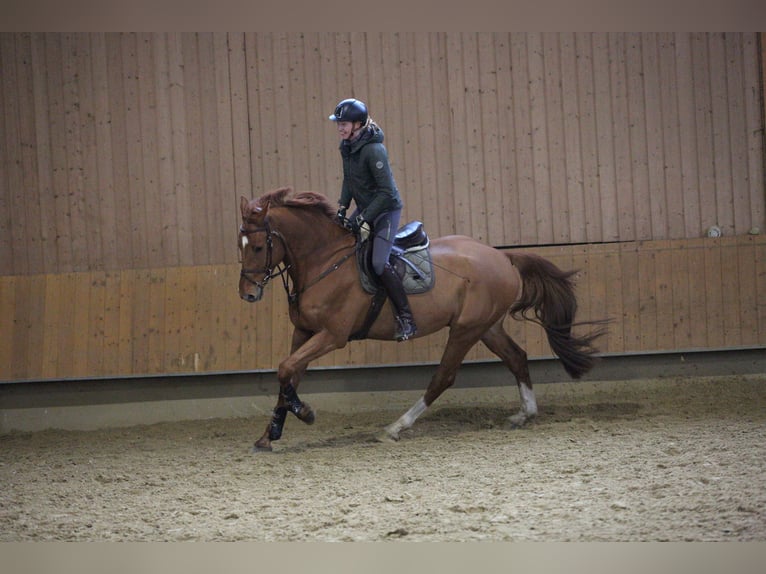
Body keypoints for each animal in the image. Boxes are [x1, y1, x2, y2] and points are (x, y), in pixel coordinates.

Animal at [240, 187, 612, 452]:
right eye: (240, 244)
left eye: (257, 247)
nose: (247, 294)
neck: (325, 261)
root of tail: (502, 257)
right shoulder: (304, 332)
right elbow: (289, 373)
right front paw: (269, 434)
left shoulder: (332, 335)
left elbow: (286, 369)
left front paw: (305, 413)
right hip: (487, 327)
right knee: (517, 358)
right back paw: (524, 414)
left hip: (465, 330)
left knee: (443, 377)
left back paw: (395, 428)